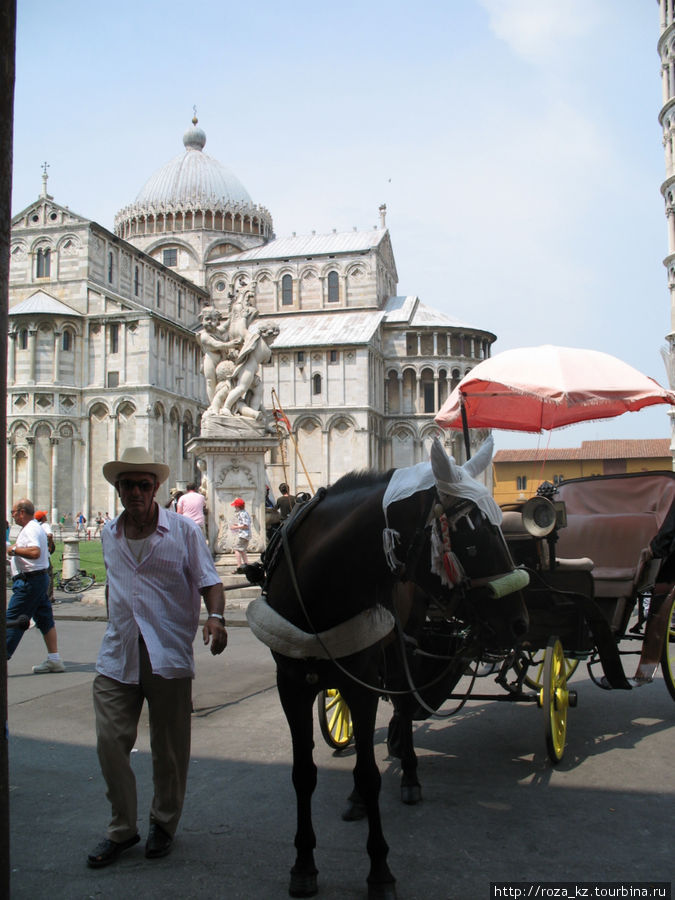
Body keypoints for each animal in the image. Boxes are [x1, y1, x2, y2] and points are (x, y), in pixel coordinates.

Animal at [246, 434, 532, 892]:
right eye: (469, 537)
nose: (520, 623)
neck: (319, 589)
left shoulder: (361, 682)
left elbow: (369, 772)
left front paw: (379, 870)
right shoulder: (290, 684)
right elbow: (303, 773)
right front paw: (304, 864)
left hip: (402, 644)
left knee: (402, 702)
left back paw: (410, 776)